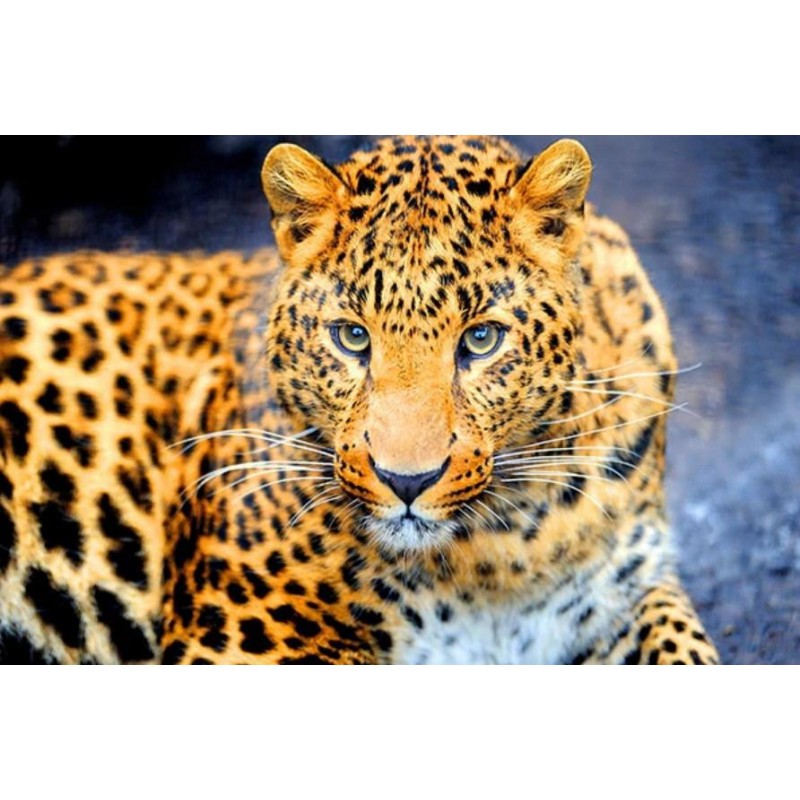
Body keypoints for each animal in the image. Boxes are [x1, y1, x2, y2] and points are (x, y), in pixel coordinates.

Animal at [0, 135, 719, 664]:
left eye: (480, 339)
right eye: (351, 337)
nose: (407, 481)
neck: (500, 551)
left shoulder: (626, 590)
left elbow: (688, 651)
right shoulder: (239, 638)